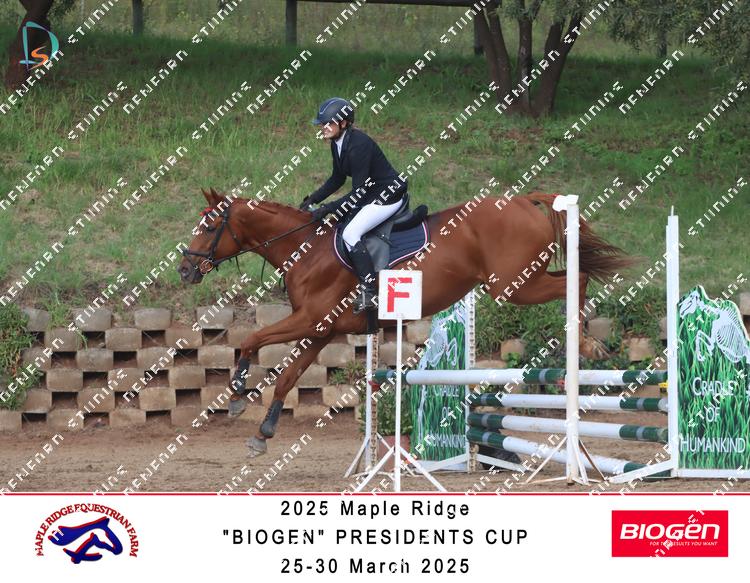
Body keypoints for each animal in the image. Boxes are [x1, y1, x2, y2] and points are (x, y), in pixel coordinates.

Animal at [178, 187, 633, 457]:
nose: (184, 270)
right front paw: (264, 431)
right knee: (575, 276)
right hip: (520, 280)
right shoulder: (320, 331)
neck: (305, 249)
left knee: (578, 279)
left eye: (208, 225)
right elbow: (288, 376)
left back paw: (587, 344)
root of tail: (522, 199)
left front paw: (237, 394)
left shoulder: (308, 320)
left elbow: (253, 339)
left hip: (512, 285)